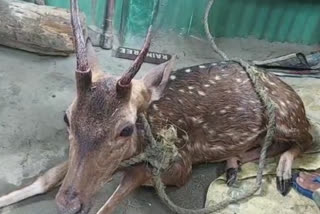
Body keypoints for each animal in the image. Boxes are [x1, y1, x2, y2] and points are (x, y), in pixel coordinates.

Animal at [0, 0, 312, 214]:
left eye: (126, 129)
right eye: (67, 117)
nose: (68, 204)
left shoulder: (180, 165)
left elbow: (111, 201)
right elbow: (47, 177)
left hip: (288, 117)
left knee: (307, 138)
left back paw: (282, 174)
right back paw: (232, 166)